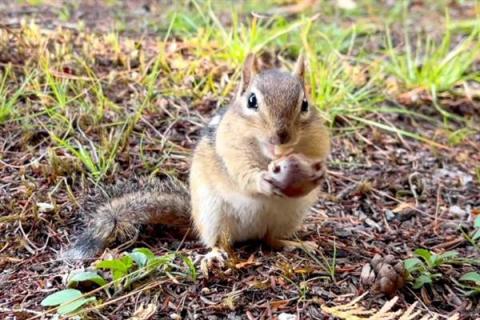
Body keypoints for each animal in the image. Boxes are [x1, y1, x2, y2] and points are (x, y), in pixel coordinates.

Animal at [62, 53, 330, 270]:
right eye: (252, 101)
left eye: (305, 104)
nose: (280, 137)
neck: (269, 155)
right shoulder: (231, 148)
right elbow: (242, 173)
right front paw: (262, 180)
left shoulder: (317, 143)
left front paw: (317, 174)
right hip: (215, 215)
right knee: (222, 242)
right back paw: (215, 255)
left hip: (290, 217)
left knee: (271, 239)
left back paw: (298, 244)